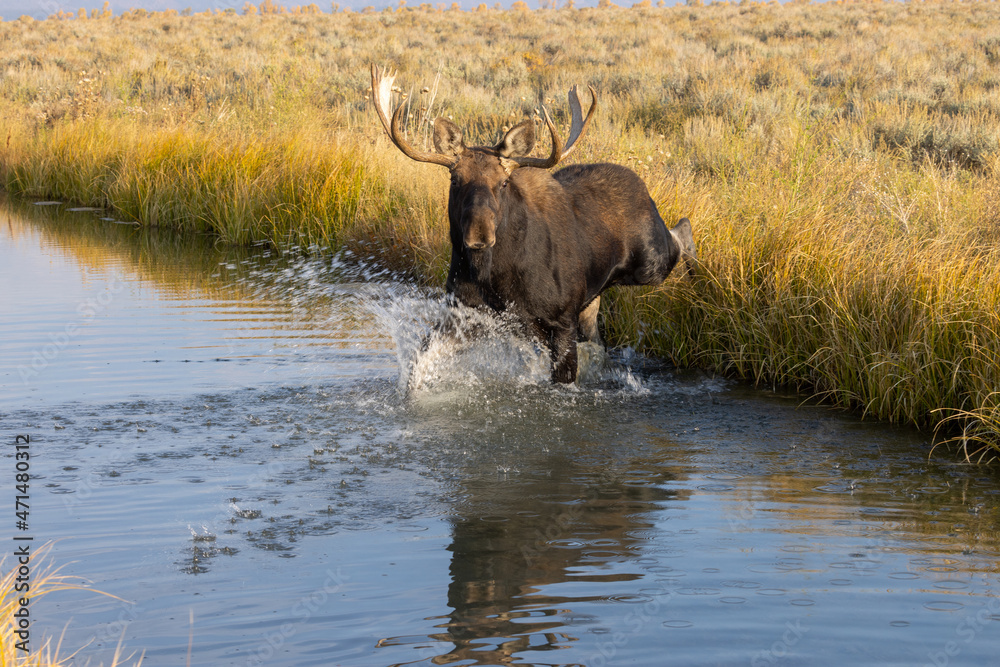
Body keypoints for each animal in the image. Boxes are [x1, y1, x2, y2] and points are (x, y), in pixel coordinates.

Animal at [370, 64, 696, 384]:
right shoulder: (463, 315)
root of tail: (641, 185)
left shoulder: (561, 321)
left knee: (681, 231)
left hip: (649, 263)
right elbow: (417, 367)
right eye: (455, 180)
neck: (496, 276)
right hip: (593, 301)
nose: (479, 235)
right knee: (599, 341)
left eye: (503, 182)